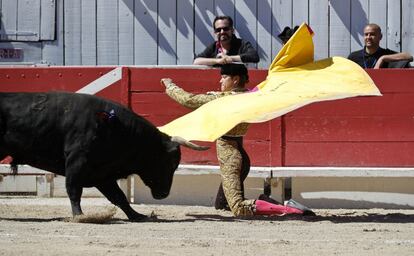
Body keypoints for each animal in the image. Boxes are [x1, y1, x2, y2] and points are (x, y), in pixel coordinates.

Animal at [0, 92, 207, 220]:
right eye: (169, 163)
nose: (164, 194)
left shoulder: (103, 174)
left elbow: (119, 197)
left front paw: (137, 216)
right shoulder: (77, 162)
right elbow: (74, 190)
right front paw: (80, 216)